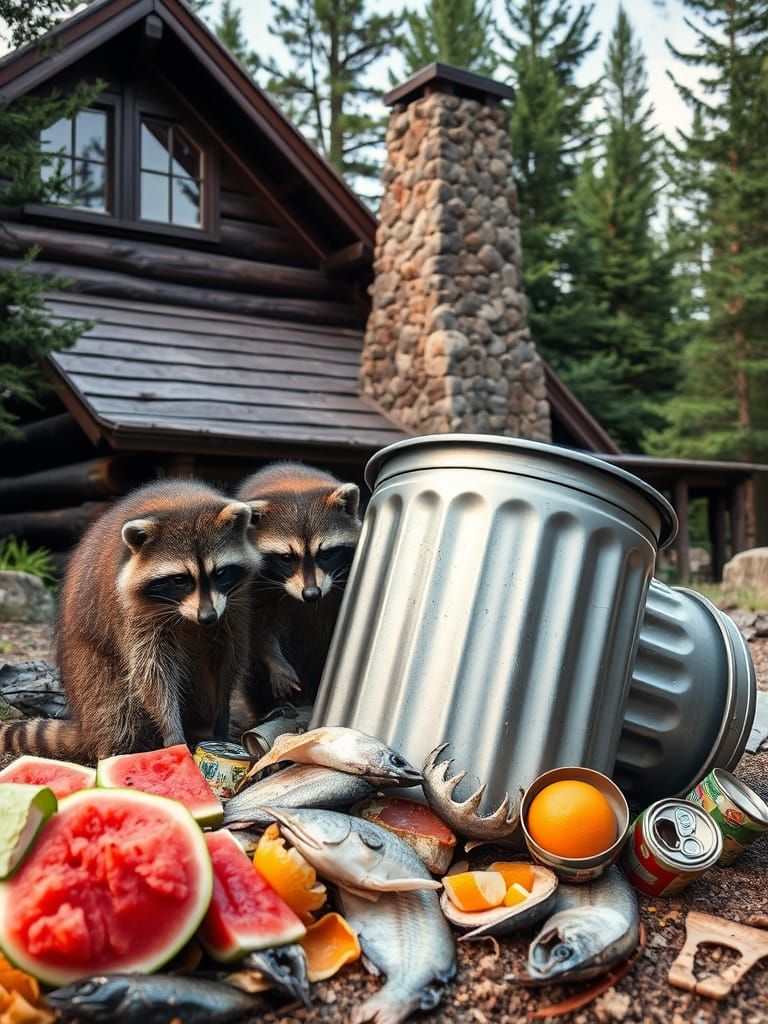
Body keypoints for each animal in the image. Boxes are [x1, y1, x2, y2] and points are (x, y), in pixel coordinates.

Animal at [0, 479, 261, 762]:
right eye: (179, 579)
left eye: (221, 573)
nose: (208, 617)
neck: (182, 501)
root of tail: (85, 725)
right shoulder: (132, 609)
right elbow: (151, 669)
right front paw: (172, 730)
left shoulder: (236, 604)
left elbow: (227, 660)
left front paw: (221, 719)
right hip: (89, 672)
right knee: (115, 703)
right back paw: (117, 748)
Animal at [234, 462, 362, 717]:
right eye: (286, 558)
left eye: (325, 554)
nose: (311, 594)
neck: (296, 484)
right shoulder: (254, 584)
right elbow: (258, 627)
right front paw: (274, 661)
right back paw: (270, 708)